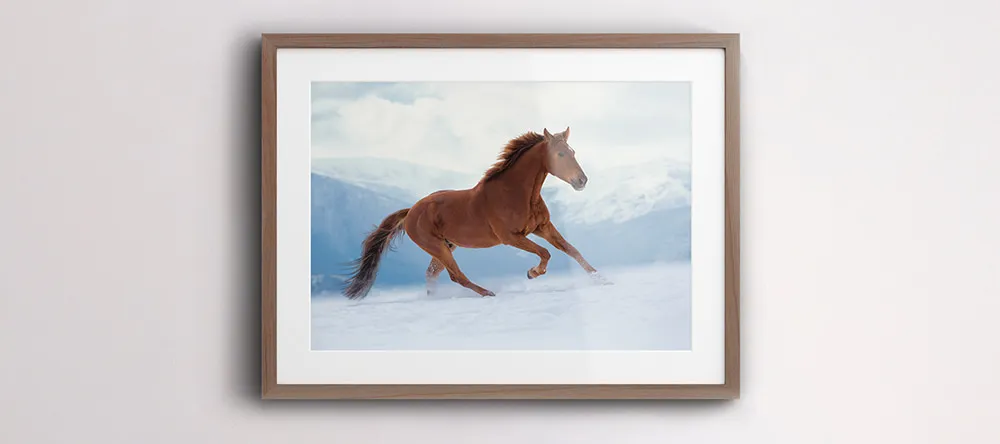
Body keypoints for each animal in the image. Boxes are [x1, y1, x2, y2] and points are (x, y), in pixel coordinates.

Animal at [342, 127, 603, 300]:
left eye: (573, 151)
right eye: (560, 154)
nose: (582, 181)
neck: (516, 193)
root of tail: (410, 211)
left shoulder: (543, 227)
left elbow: (572, 250)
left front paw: (602, 279)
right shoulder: (511, 238)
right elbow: (546, 253)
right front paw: (532, 273)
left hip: (447, 246)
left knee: (432, 273)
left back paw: (434, 298)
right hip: (437, 247)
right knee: (456, 276)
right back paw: (488, 292)